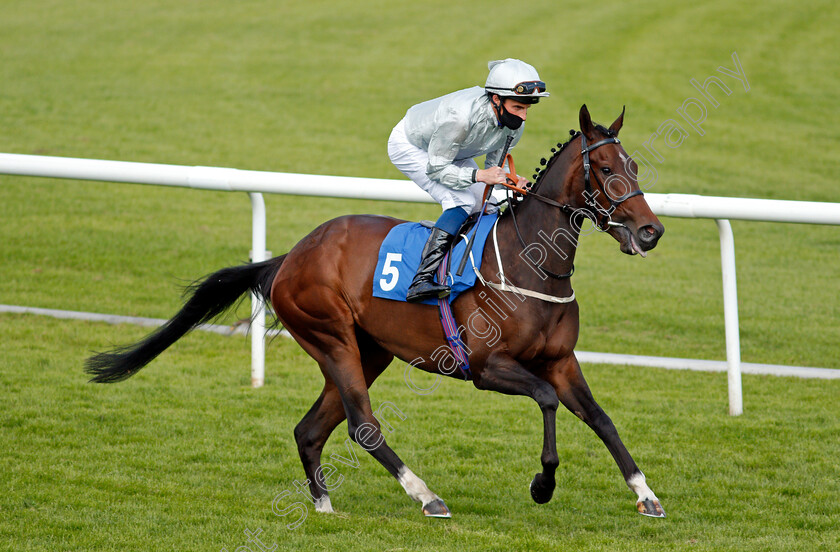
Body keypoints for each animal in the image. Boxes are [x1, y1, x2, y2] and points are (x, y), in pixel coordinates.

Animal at [85, 105, 664, 520]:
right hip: (331, 336)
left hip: (369, 351)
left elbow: (601, 418)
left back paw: (323, 505)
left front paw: (646, 495)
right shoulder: (486, 367)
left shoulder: (562, 361)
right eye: (605, 169)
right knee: (362, 424)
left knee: (310, 430)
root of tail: (290, 257)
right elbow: (545, 400)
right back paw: (426, 496)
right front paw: (542, 484)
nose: (650, 231)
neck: (532, 264)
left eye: (634, 166)